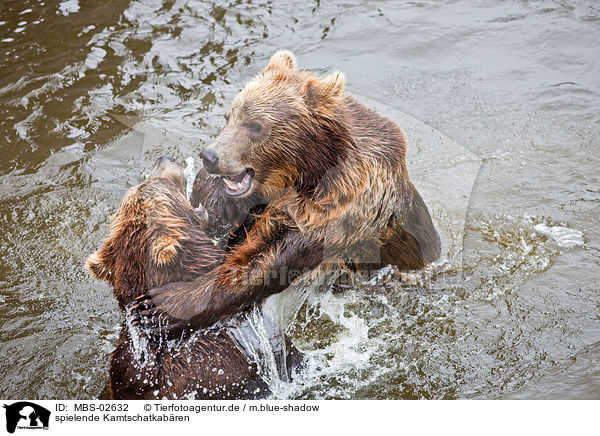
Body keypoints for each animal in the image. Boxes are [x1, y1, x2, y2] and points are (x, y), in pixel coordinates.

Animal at [136, 51, 440, 336]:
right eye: (228, 117)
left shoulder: (339, 209)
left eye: (255, 125)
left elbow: (266, 261)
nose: (210, 156)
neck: (308, 173)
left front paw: (162, 307)